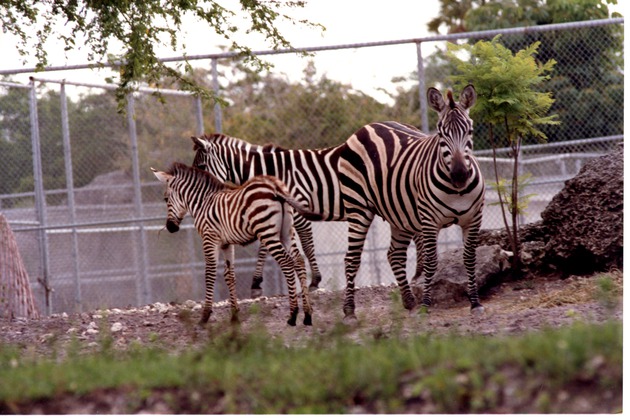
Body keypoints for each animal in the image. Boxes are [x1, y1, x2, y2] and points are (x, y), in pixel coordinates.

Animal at [152, 162, 320, 326]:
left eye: (166, 199)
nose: (170, 227)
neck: (203, 202)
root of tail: (274, 186)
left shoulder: (209, 238)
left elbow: (210, 273)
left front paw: (205, 316)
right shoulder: (226, 243)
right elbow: (229, 275)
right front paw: (234, 316)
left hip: (267, 232)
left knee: (286, 262)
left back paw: (293, 315)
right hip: (286, 232)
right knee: (298, 261)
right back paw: (307, 314)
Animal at [189, 134, 346, 296]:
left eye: (202, 166)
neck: (275, 171)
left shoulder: (298, 212)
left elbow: (307, 244)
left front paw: (315, 280)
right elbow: (264, 248)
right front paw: (256, 283)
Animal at [338, 85, 486, 322]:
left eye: (470, 132)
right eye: (441, 134)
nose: (459, 175)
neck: (457, 190)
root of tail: (368, 126)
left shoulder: (474, 219)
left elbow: (470, 258)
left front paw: (475, 303)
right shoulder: (429, 221)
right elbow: (430, 261)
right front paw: (426, 305)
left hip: (400, 214)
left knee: (394, 255)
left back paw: (408, 301)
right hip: (358, 208)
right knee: (351, 259)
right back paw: (350, 311)